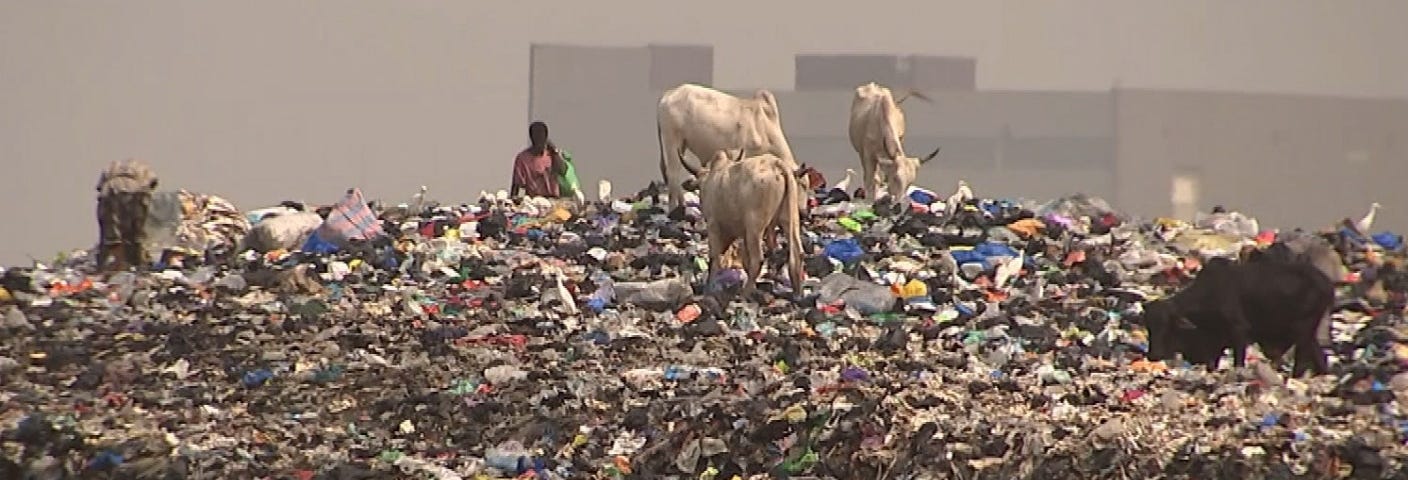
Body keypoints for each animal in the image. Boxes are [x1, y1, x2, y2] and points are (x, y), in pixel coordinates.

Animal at [653, 83, 799, 211]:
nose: (801, 212)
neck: (762, 125)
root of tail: (669, 94)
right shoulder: (736, 153)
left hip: (681, 145)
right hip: (672, 140)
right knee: (673, 174)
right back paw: (673, 210)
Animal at [695, 149, 805, 295]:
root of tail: (776, 163)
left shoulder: (713, 225)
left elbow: (714, 257)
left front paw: (710, 287)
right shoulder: (743, 233)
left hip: (755, 226)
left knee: (757, 259)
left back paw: (745, 293)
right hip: (790, 217)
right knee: (797, 253)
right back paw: (798, 292)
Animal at [1143, 256, 1329, 374]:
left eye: (1167, 325)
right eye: (1148, 327)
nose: (1153, 355)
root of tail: (1325, 282)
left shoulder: (1238, 331)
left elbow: (1238, 361)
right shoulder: (1214, 342)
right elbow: (1212, 364)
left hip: (1303, 329)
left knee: (1302, 359)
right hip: (1308, 331)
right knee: (1319, 356)